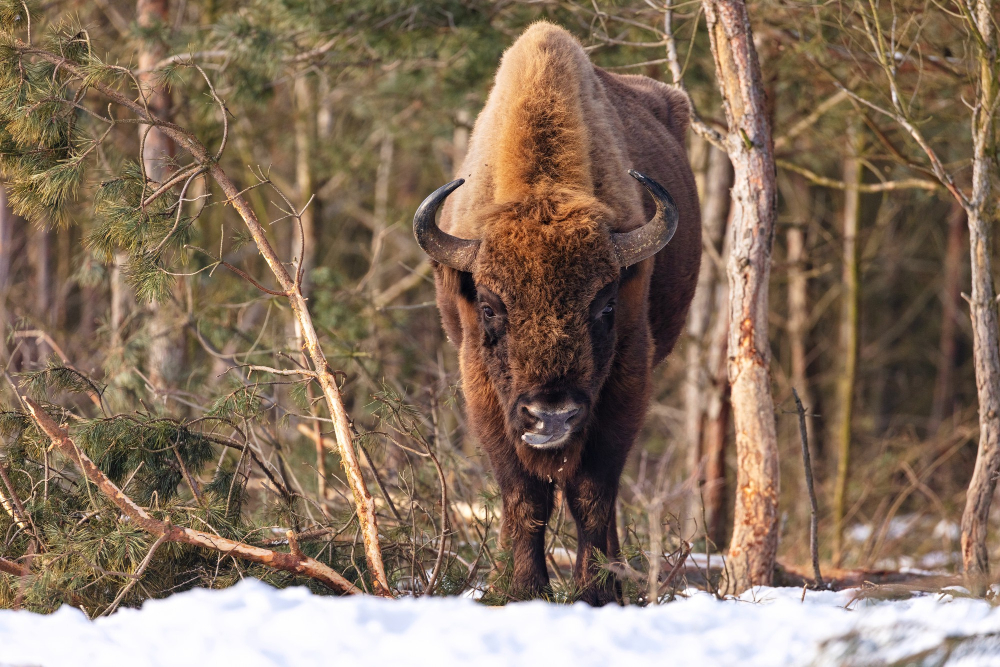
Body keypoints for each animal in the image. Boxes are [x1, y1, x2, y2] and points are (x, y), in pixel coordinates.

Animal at [410, 20, 700, 604]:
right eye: (490, 307)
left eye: (605, 305)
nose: (552, 416)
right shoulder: (482, 389)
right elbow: (525, 494)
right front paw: (520, 588)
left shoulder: (626, 379)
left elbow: (591, 491)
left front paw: (596, 592)